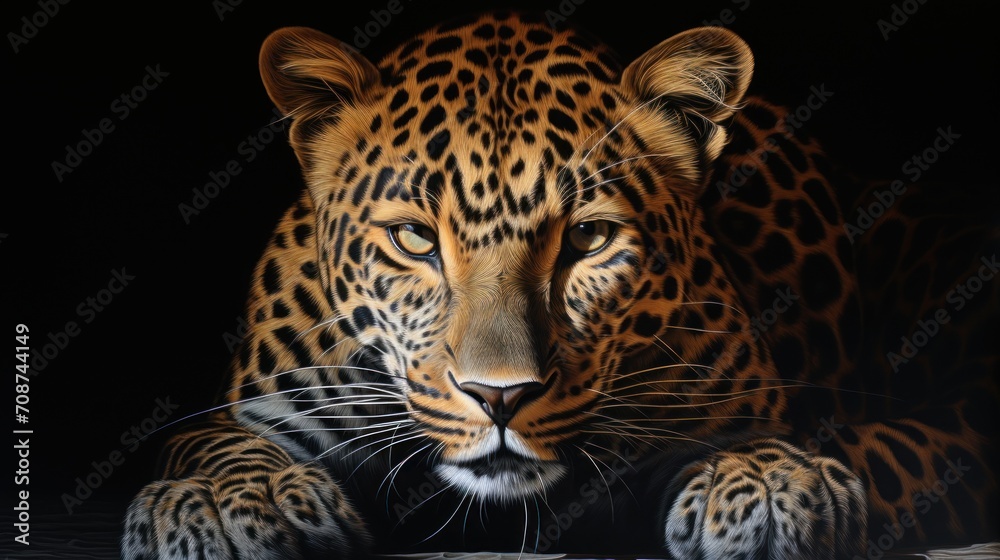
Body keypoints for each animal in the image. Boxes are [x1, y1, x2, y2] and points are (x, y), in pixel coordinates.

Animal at [122, 11, 998, 559]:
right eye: (415, 240)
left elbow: (775, 439)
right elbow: (209, 444)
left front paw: (769, 482)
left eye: (588, 238)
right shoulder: (266, 406)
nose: (500, 397)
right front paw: (228, 504)